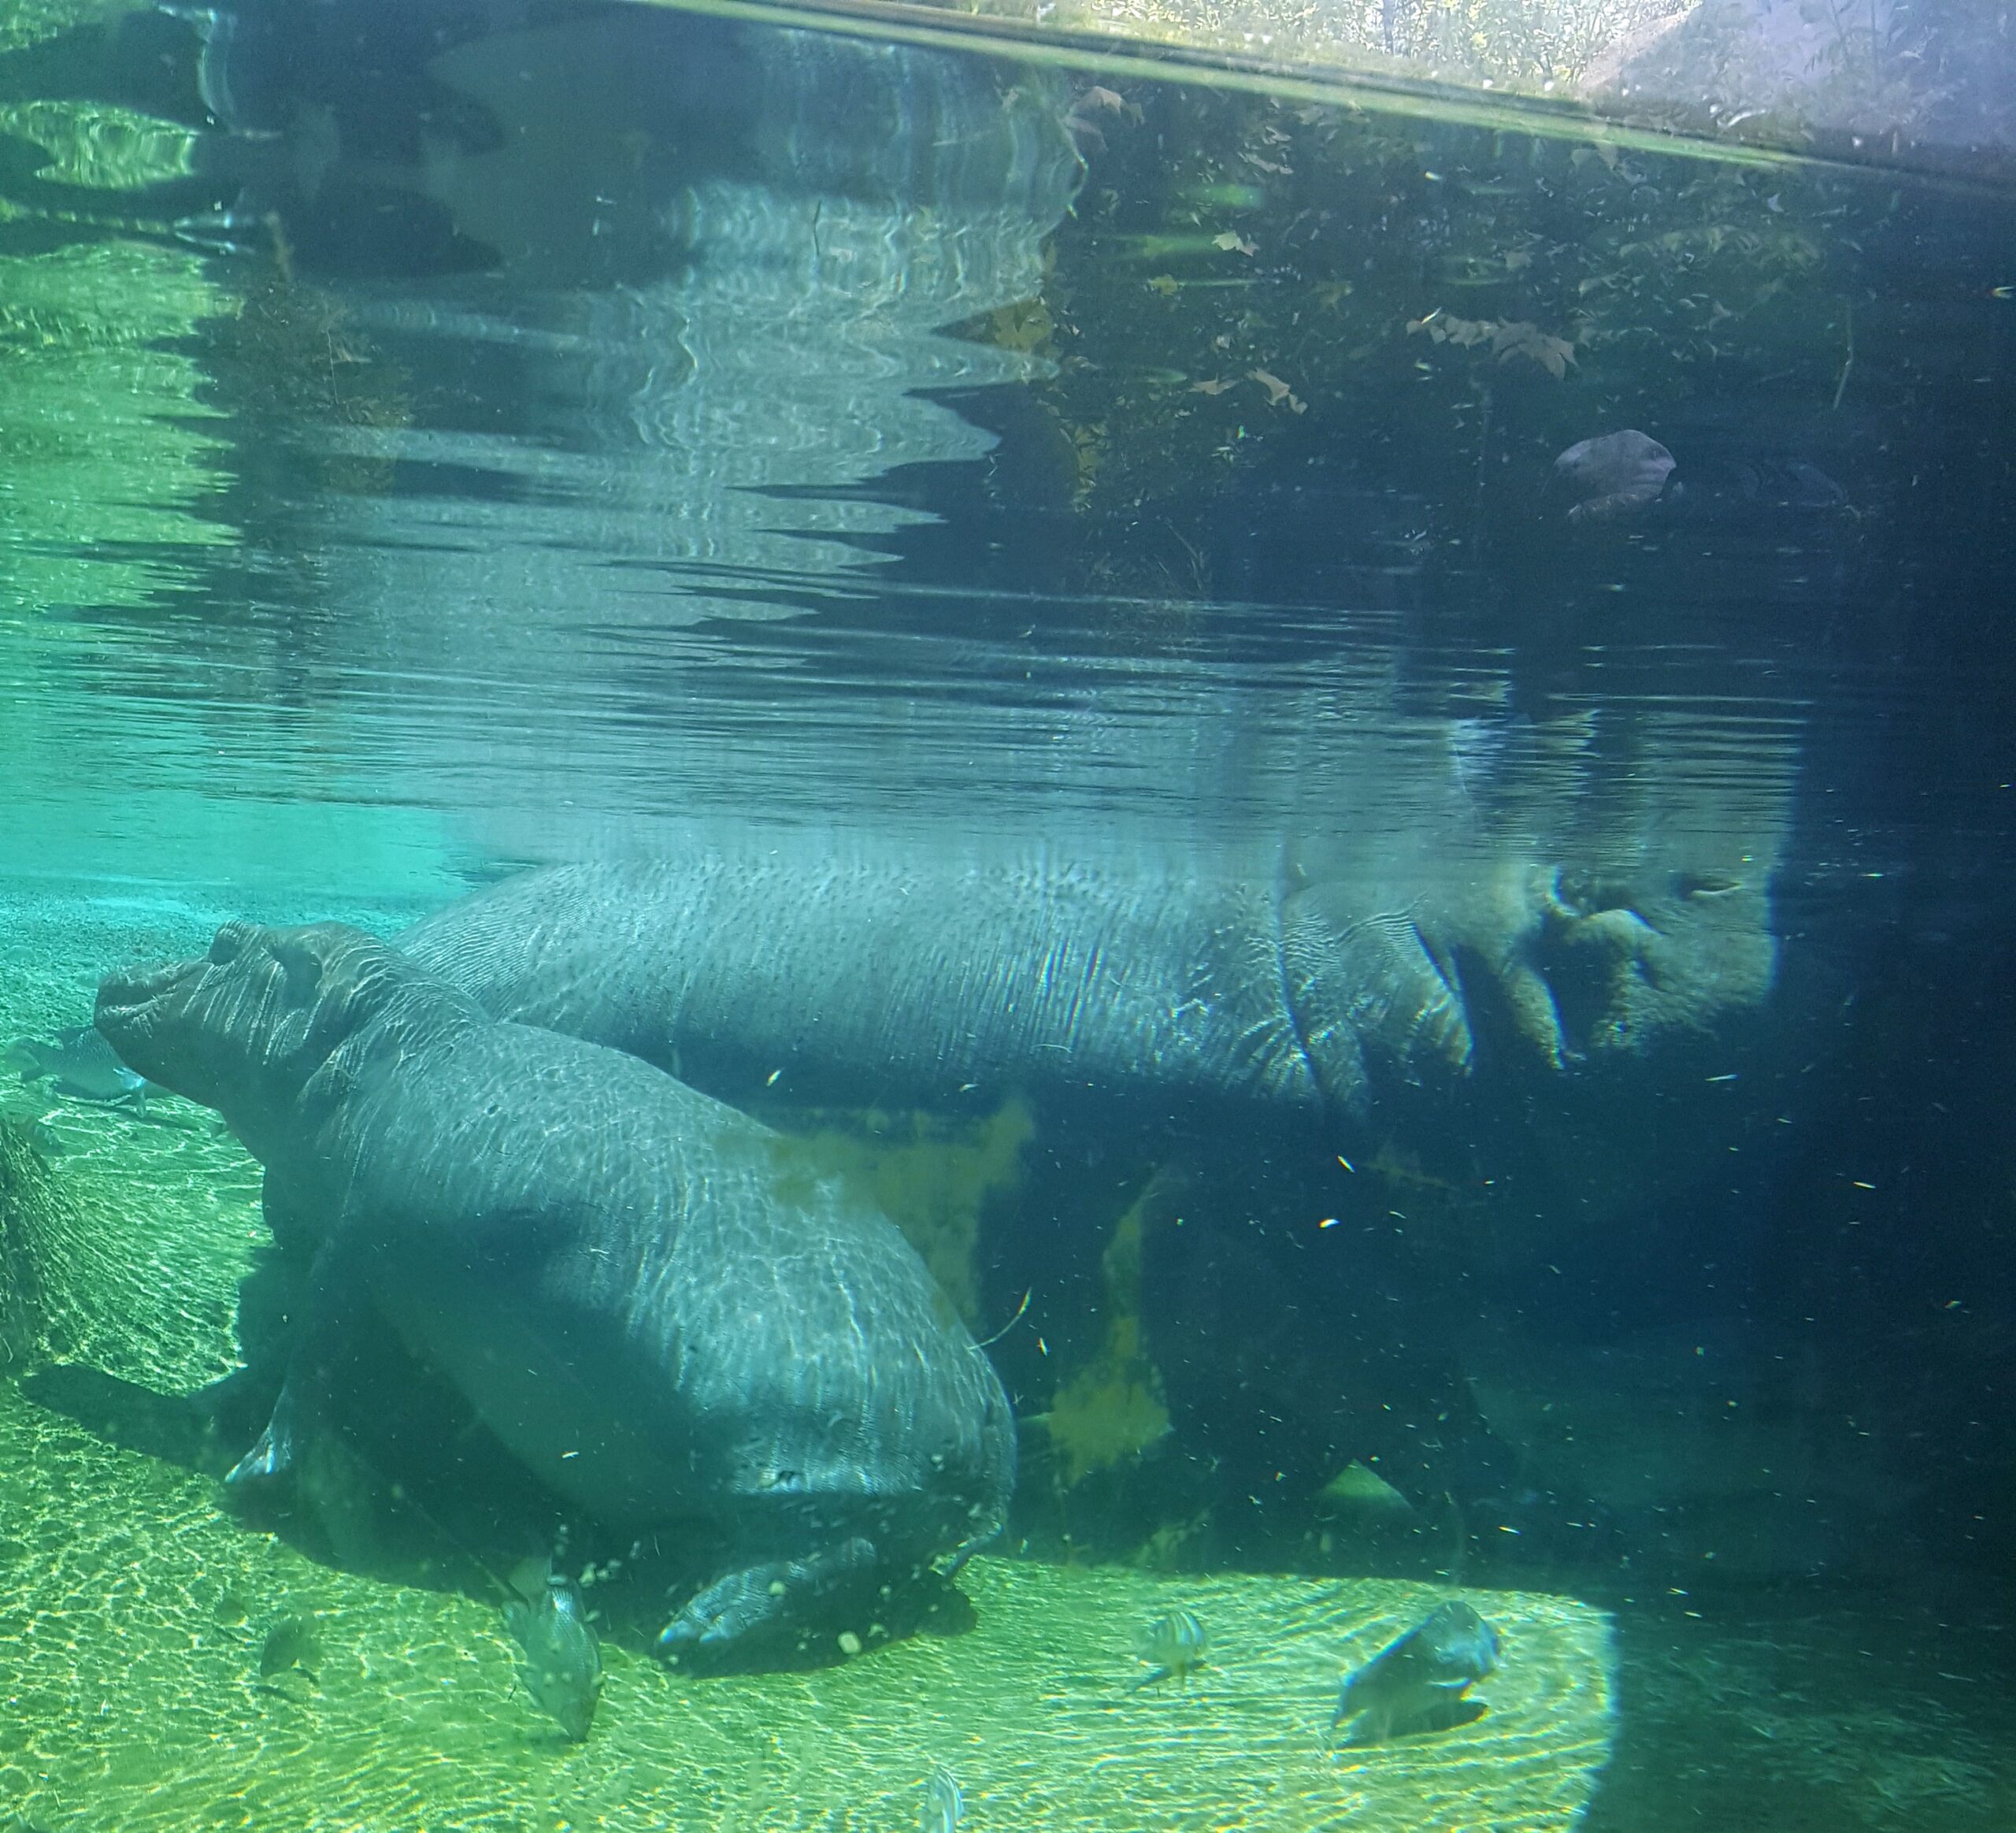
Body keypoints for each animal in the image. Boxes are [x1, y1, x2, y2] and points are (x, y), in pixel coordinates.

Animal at [95, 920, 1014, 1664]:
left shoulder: (353, 1253)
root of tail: (995, 1410)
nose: (115, 978)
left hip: (788, 1467)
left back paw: (696, 1627)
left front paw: (252, 1472)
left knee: (834, 1554)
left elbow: (313, 1366)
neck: (369, 1040)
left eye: (225, 943)